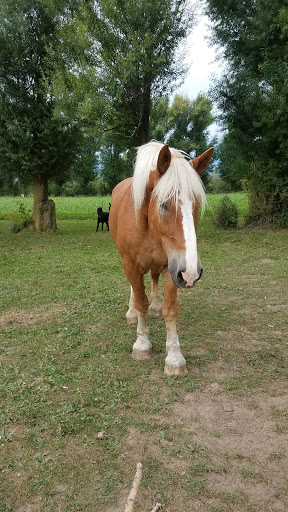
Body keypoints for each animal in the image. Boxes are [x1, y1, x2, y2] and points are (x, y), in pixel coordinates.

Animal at [109, 142, 213, 374]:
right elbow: (140, 301)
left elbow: (170, 309)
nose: (192, 273)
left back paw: (155, 307)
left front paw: (174, 357)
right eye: (164, 204)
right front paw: (142, 345)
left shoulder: (172, 267)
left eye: (197, 204)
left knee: (154, 280)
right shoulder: (131, 264)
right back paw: (131, 313)